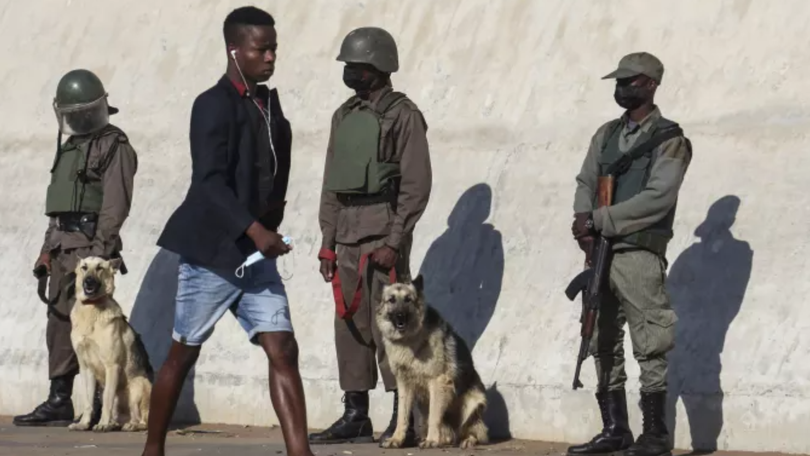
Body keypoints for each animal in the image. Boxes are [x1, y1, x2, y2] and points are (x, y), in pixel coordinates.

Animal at [67, 256, 152, 432]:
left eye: (100, 268)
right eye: (84, 267)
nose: (89, 281)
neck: (91, 308)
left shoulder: (112, 366)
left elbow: (106, 400)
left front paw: (102, 424)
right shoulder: (86, 368)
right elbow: (88, 402)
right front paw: (83, 423)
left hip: (138, 386)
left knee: (142, 420)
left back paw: (130, 425)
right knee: (119, 416)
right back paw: (114, 423)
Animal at [378, 274, 490, 448]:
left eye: (408, 300)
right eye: (391, 300)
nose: (400, 316)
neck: (409, 340)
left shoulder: (438, 382)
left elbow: (434, 416)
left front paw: (432, 441)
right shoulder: (404, 385)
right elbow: (402, 415)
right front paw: (396, 439)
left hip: (473, 403)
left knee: (475, 432)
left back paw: (466, 440)